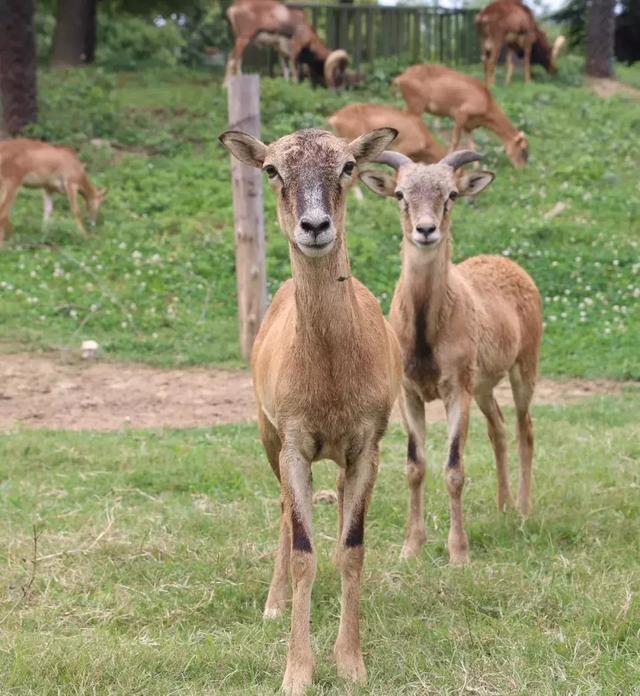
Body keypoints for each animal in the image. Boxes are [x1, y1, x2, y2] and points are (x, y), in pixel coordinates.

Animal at [220, 128, 400, 692]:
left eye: (347, 166)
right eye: (272, 169)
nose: (315, 226)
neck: (329, 381)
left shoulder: (367, 447)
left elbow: (352, 547)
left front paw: (352, 664)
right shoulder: (294, 444)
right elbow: (304, 553)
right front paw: (296, 672)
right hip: (267, 435)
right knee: (282, 508)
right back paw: (273, 605)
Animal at [360, 150, 540, 564]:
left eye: (452, 194)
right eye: (400, 194)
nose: (426, 230)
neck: (427, 333)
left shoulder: (457, 387)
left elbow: (454, 468)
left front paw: (459, 552)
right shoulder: (408, 392)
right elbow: (414, 466)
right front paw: (411, 548)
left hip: (525, 364)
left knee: (524, 429)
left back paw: (524, 510)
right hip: (484, 385)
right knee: (498, 427)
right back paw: (503, 507)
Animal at [396, 65, 528, 169]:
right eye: (523, 150)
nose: (522, 169)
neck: (486, 105)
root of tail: (399, 78)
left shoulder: (469, 126)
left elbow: (472, 145)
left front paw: (476, 165)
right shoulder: (461, 114)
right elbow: (455, 140)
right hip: (416, 103)